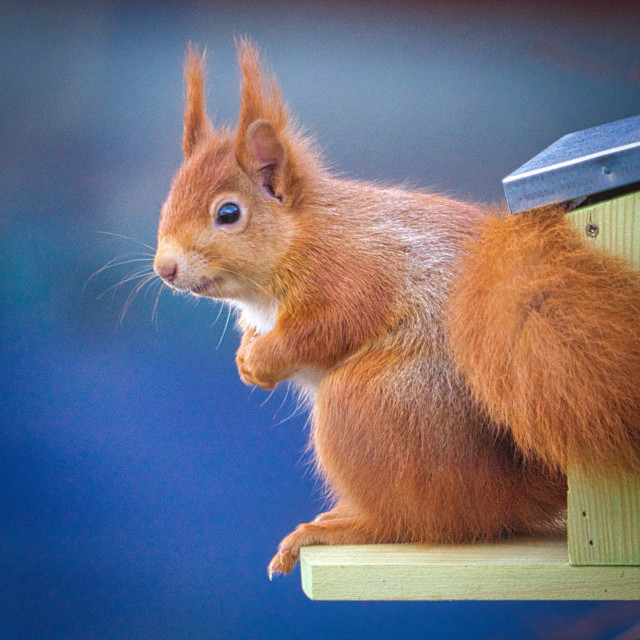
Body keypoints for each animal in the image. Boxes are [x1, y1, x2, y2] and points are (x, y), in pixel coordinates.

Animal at [152, 42, 636, 576]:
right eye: (168, 201)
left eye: (229, 213)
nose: (164, 268)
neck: (301, 239)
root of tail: (516, 488)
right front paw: (246, 354)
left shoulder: (352, 273)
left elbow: (330, 325)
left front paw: (262, 358)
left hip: (372, 405)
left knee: (415, 523)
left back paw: (335, 528)